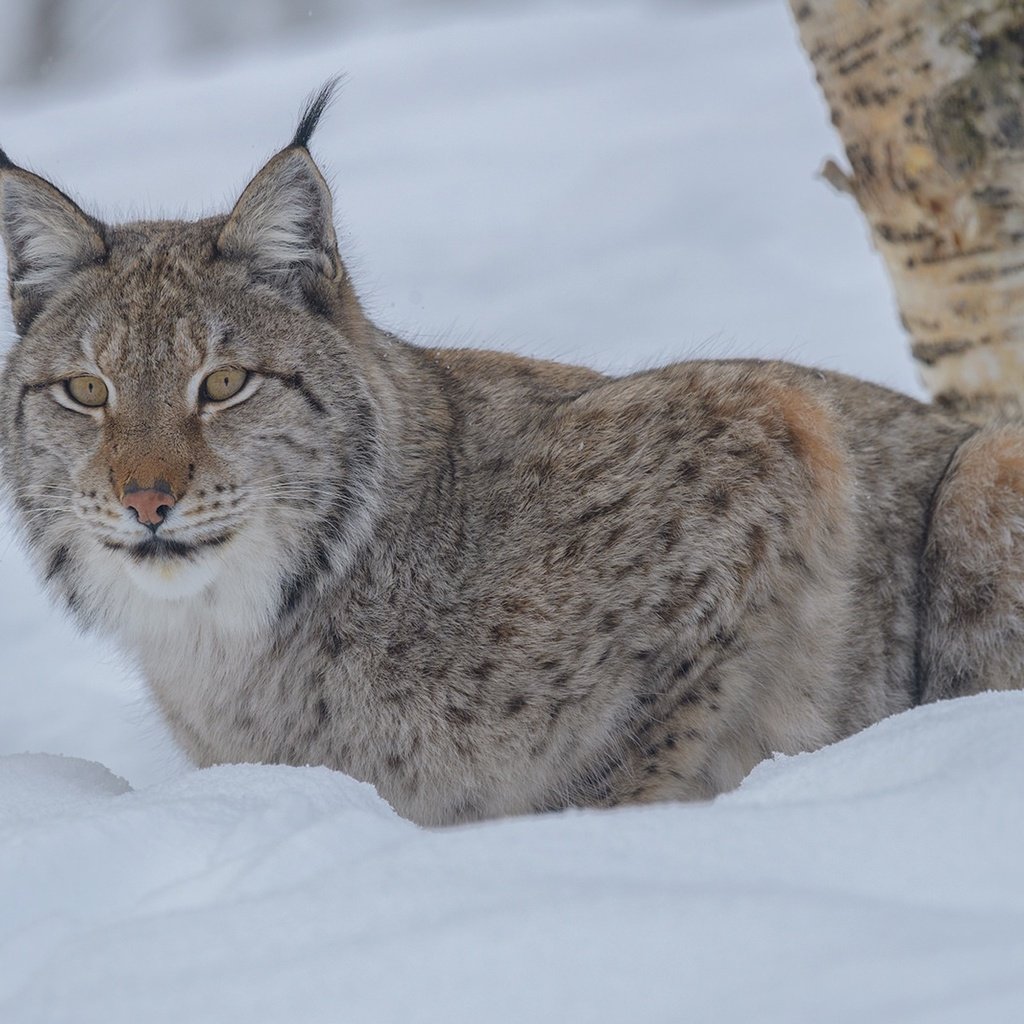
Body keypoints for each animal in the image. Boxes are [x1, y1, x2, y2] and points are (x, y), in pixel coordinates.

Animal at [2, 83, 1024, 827]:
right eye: (86, 392)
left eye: (223, 384)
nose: (146, 502)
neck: (245, 627)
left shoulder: (770, 421)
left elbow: (657, 733)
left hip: (984, 469)